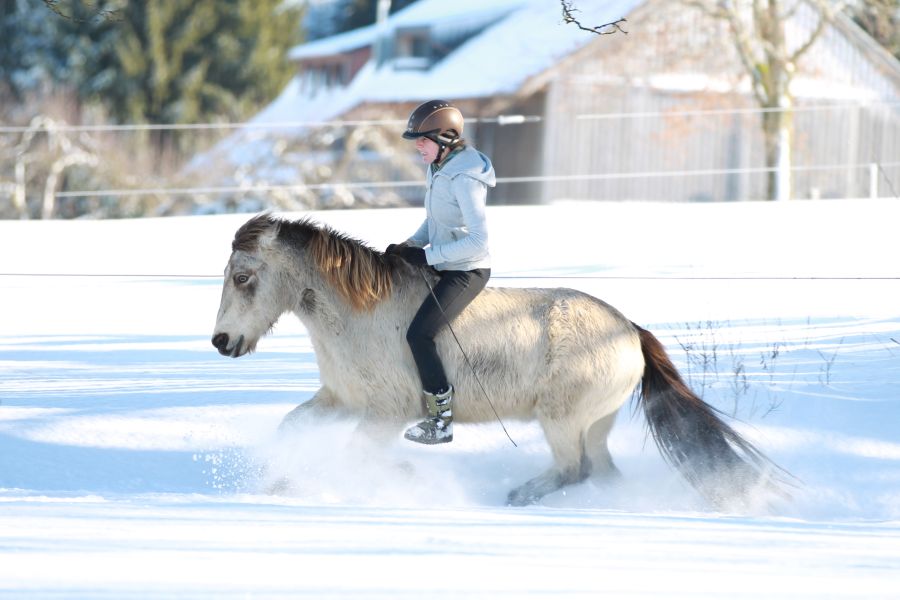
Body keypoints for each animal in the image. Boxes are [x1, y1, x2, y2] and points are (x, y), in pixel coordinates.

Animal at [212, 213, 786, 508]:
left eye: (243, 277)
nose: (221, 341)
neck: (360, 314)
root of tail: (629, 330)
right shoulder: (341, 401)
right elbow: (292, 429)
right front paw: (279, 482)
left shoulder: (385, 414)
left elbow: (358, 456)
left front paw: (394, 476)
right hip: (594, 425)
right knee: (600, 473)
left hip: (562, 420)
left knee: (572, 468)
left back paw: (516, 496)